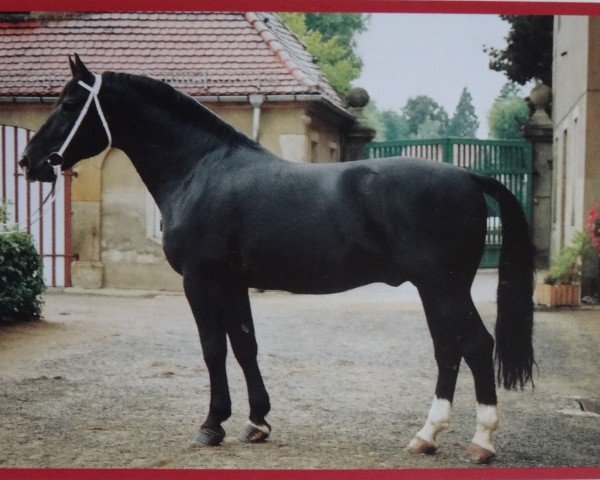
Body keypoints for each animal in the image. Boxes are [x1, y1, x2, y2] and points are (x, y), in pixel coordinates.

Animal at [19, 57, 536, 464]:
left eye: (69, 104)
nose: (28, 162)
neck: (200, 170)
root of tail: (468, 176)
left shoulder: (201, 281)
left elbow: (213, 349)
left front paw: (211, 426)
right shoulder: (232, 282)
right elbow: (245, 345)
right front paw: (257, 423)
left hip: (442, 285)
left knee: (474, 345)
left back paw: (481, 441)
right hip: (436, 288)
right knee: (449, 348)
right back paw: (426, 437)